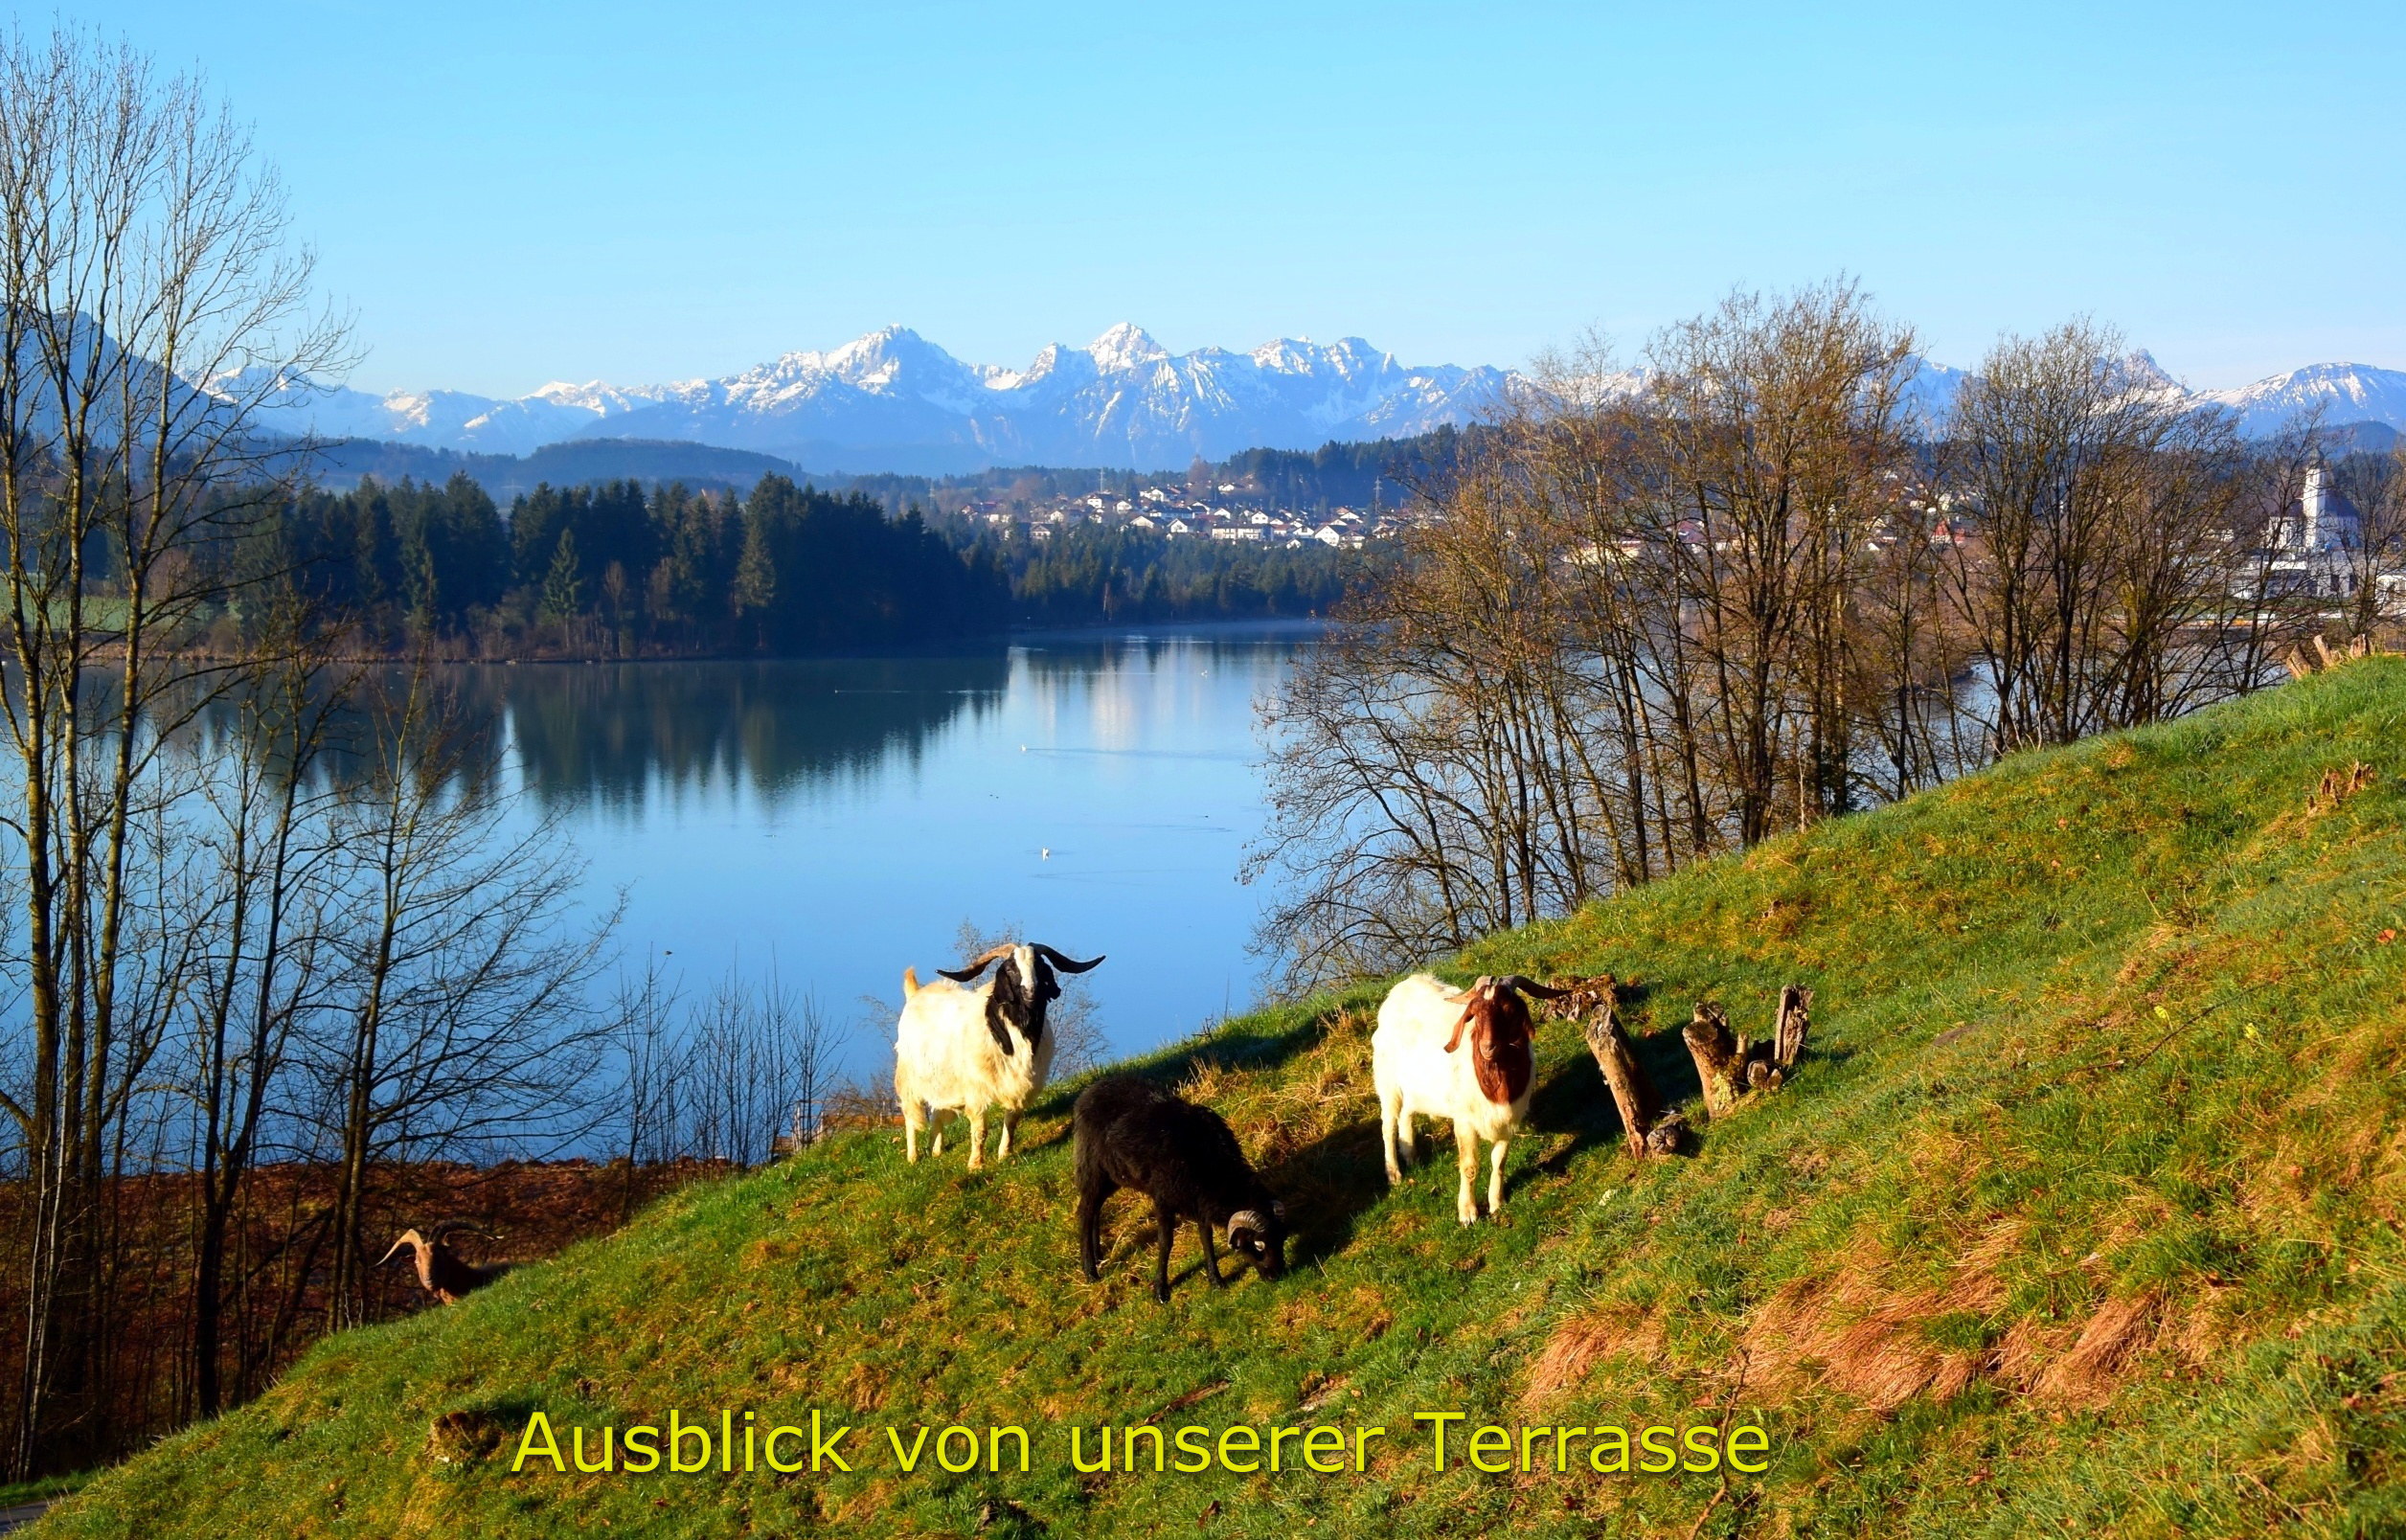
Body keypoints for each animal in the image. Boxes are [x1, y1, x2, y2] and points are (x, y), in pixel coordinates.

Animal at [895, 938, 1101, 1165]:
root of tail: (915, 993)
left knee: (938, 1112)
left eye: (1039, 966)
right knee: (911, 1117)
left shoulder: (1020, 1084)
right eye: (1011, 969)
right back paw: (913, 1157)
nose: (1032, 993)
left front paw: (1005, 1154)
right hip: (909, 1079)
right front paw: (976, 1164)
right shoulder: (975, 1090)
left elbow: (1011, 1122)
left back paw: (936, 1150)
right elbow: (980, 1131)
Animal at [1078, 1077, 1289, 1308]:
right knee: (1085, 1212)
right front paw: (1161, 1291)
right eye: (1258, 1245)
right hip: (1093, 1169)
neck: (1208, 1161)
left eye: (1282, 1238)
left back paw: (1098, 1255)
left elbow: (1206, 1238)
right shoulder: (1163, 1199)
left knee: (1096, 1208)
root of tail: (1089, 1091)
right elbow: (1165, 1243)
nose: (1277, 1275)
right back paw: (1090, 1271)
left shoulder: (1200, 1200)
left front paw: (1216, 1281)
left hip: (1114, 1176)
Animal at [1375, 972, 1578, 1227]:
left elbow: (1499, 1161)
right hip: (1388, 1084)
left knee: (1406, 1115)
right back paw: (1394, 1174)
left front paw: (1497, 1202)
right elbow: (1469, 1166)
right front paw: (1467, 1213)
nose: (1487, 1047)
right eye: (1476, 1014)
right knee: (1388, 1126)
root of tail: (1402, 988)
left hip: (1414, 1088)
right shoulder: (1465, 1121)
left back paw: (1411, 1156)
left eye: (1509, 1010)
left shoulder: (1507, 1121)